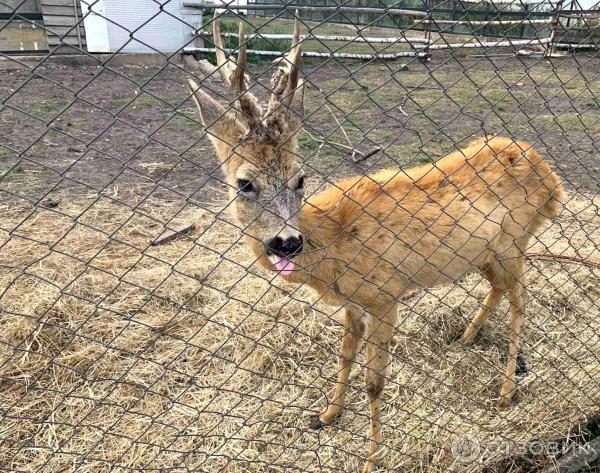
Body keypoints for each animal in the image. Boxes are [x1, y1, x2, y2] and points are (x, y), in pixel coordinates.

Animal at [185, 12, 564, 470]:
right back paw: (466, 337)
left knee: (521, 297)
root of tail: (552, 180)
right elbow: (344, 353)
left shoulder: (385, 295)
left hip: (514, 242)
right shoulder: (353, 302)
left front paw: (369, 458)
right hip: (485, 251)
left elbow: (374, 383)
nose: (287, 242)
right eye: (244, 183)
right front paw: (326, 414)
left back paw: (506, 391)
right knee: (501, 288)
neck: (332, 245)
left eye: (300, 179)